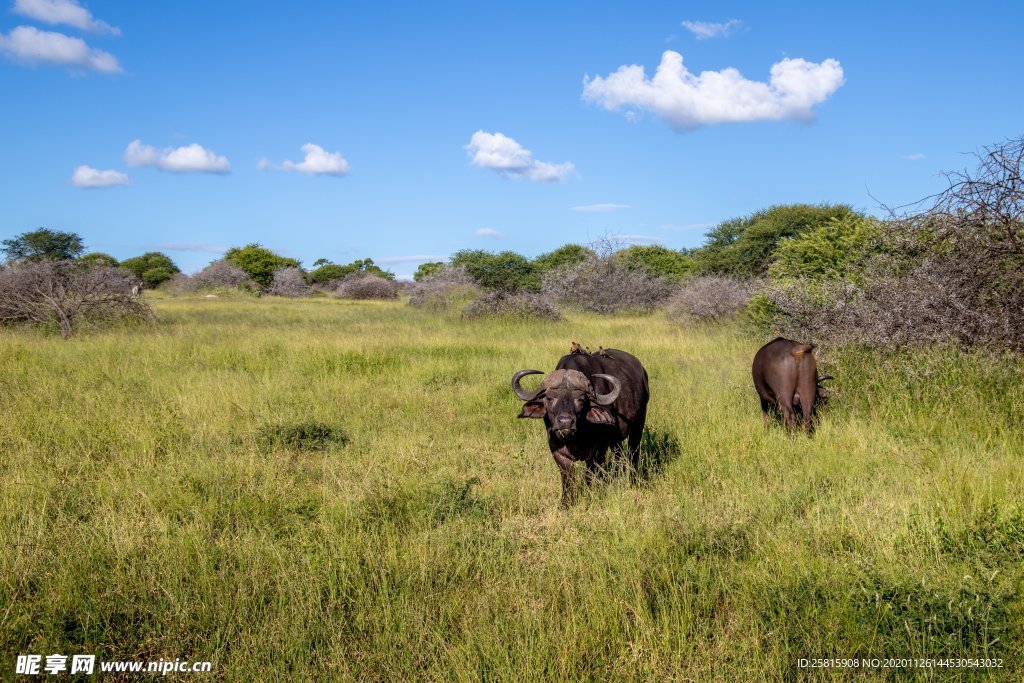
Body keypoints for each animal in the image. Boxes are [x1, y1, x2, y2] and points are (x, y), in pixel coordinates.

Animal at [512, 342, 647, 507]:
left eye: (581, 399)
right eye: (549, 398)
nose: (565, 422)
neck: (576, 437)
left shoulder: (597, 452)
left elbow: (589, 476)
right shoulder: (558, 451)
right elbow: (568, 478)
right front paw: (565, 503)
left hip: (638, 427)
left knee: (633, 454)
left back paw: (633, 480)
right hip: (616, 440)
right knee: (619, 456)